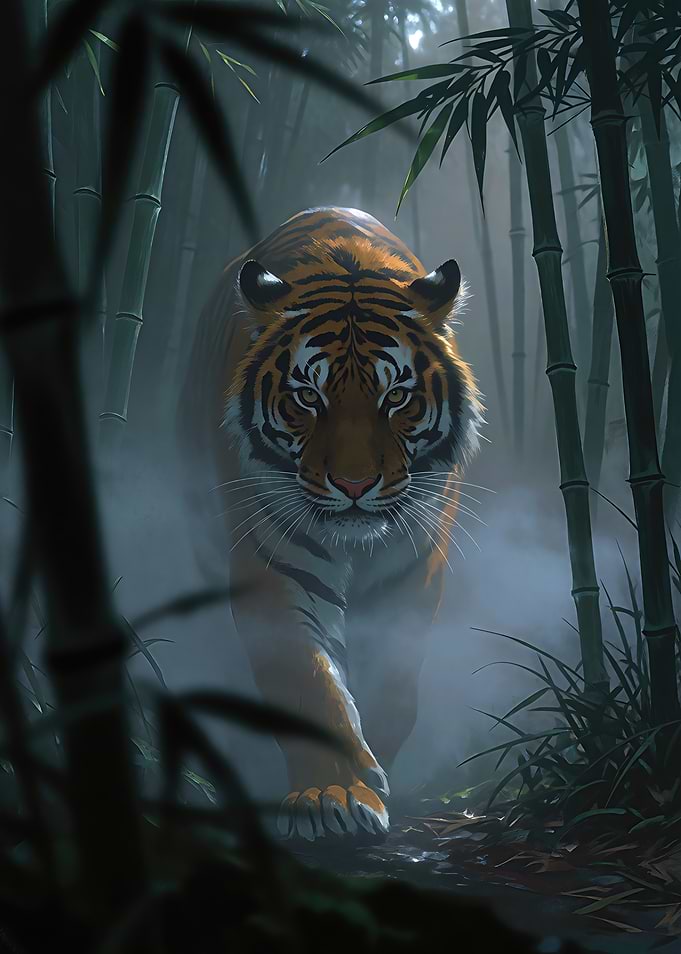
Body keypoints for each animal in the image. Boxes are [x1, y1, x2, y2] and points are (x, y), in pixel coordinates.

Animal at [180, 206, 484, 842]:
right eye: (307, 398)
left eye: (397, 397)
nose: (353, 484)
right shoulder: (273, 567)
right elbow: (307, 679)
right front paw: (334, 795)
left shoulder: (416, 571)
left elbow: (395, 678)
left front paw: (379, 759)